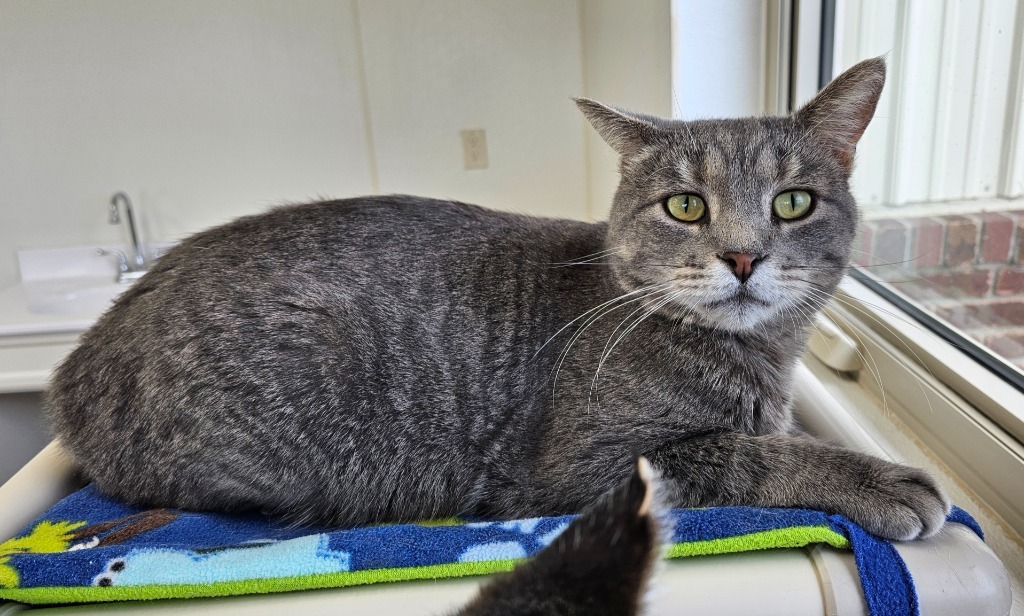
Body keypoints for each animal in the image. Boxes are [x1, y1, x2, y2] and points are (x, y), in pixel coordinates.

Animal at [48, 56, 946, 536]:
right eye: (686, 206)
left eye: (792, 202)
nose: (743, 255)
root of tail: (75, 368)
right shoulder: (592, 465)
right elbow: (739, 453)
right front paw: (876, 479)